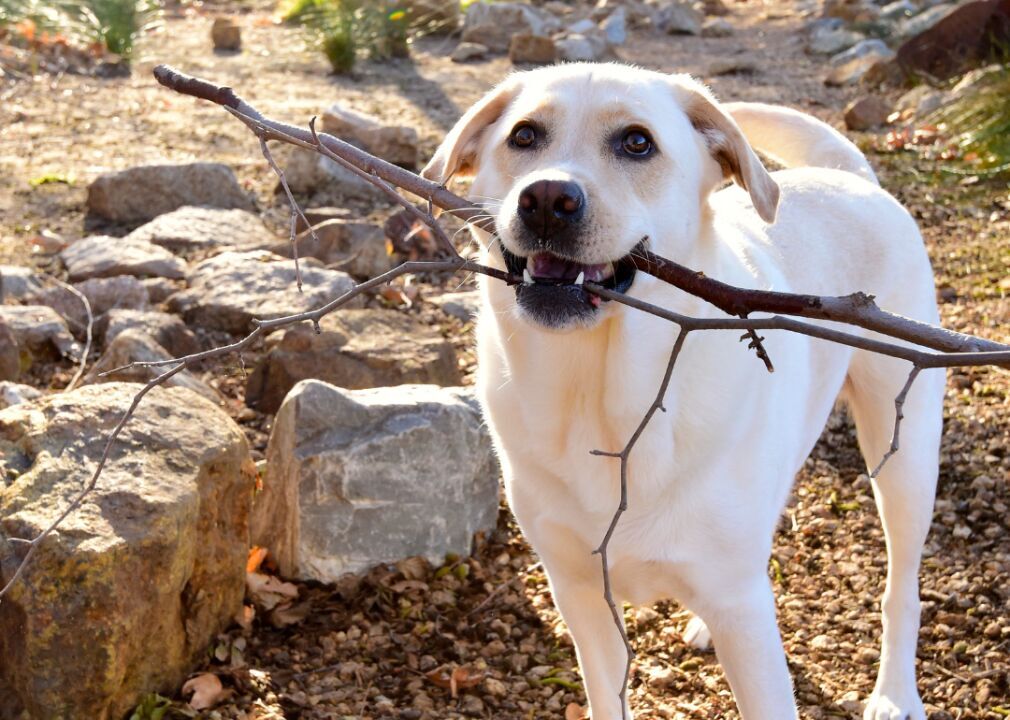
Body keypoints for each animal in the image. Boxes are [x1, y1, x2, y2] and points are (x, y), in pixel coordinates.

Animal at [420, 63, 945, 718]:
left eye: (637, 142)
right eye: (523, 135)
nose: (545, 200)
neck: (602, 398)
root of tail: (852, 177)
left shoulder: (745, 618)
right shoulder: (580, 595)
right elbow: (607, 696)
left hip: (905, 455)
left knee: (902, 585)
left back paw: (895, 693)